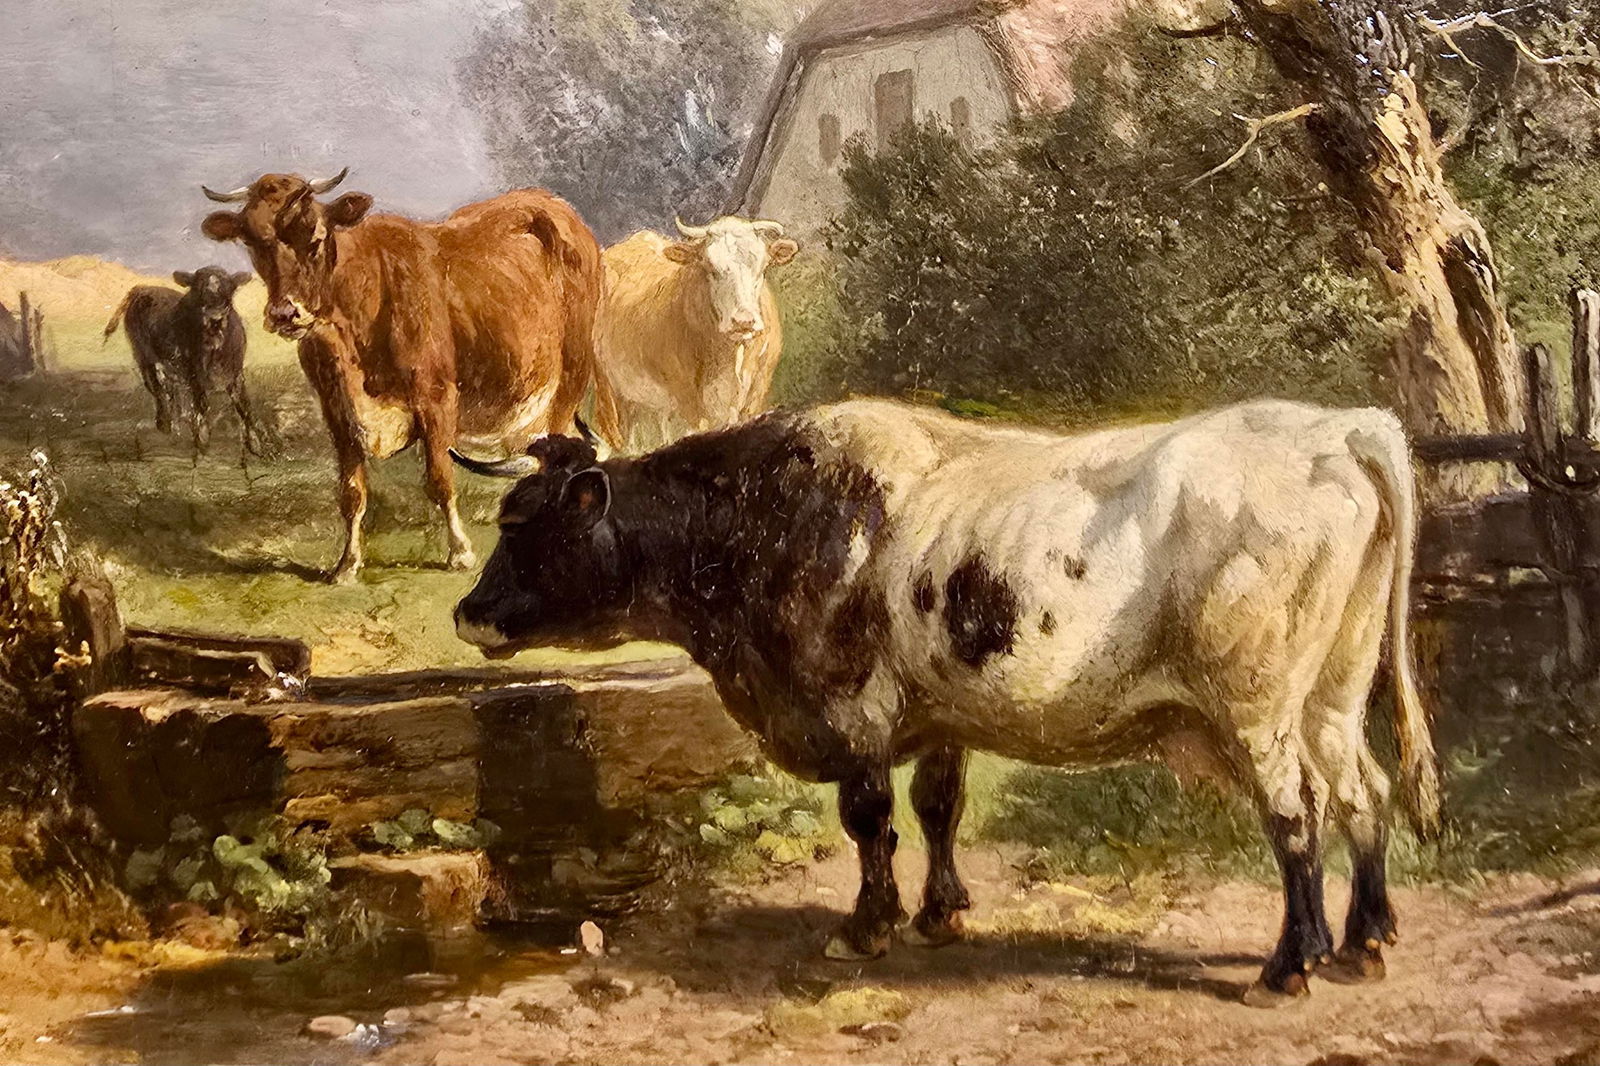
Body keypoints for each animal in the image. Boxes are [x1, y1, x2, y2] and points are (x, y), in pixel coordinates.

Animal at [103, 266, 271, 455]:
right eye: (198, 289)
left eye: (229, 288)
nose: (215, 316)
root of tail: (142, 288)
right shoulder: (194, 373)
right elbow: (202, 403)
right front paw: (202, 437)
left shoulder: (236, 374)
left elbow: (245, 407)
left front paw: (256, 444)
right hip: (144, 357)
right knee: (157, 389)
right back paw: (165, 423)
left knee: (168, 389)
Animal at [198, 168, 602, 582]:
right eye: (252, 241)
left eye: (316, 236)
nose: (284, 313)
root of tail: (548, 202)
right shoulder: (335, 409)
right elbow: (351, 491)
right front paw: (347, 564)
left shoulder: (436, 397)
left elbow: (440, 481)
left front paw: (460, 552)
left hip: (572, 371)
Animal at [450, 398, 1440, 1006]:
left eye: (524, 524)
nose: (467, 612)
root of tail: (1337, 428)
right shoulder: (936, 715)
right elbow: (937, 806)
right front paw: (940, 914)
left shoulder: (850, 708)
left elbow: (870, 820)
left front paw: (866, 928)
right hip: (1335, 693)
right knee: (1365, 793)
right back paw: (1366, 942)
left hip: (1257, 706)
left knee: (1298, 815)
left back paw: (1291, 964)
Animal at [591, 216, 798, 453]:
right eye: (711, 268)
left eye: (762, 268)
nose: (743, 321)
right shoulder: (689, 400)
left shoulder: (756, 393)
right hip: (611, 390)